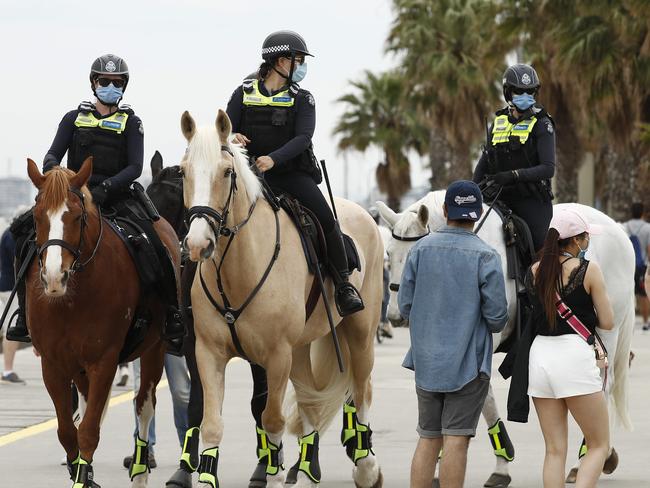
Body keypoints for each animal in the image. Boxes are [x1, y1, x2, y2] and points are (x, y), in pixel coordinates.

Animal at [25, 159, 181, 488]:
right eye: (36, 214)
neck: (71, 300)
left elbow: (88, 431)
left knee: (144, 405)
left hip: (155, 349)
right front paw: (82, 473)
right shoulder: (53, 364)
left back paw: (140, 472)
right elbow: (68, 431)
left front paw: (84, 477)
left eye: (77, 215)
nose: (55, 277)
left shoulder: (104, 361)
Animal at [180, 110, 382, 488]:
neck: (238, 268)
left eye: (226, 172)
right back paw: (305, 471)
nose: (199, 244)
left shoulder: (275, 357)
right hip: (301, 349)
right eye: (183, 171)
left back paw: (366, 468)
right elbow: (212, 424)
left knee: (362, 393)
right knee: (311, 406)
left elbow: (271, 420)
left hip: (360, 334)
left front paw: (271, 475)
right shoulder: (209, 353)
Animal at [374, 192, 632, 488]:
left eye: (413, 253)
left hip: (605, 331)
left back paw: (587, 458)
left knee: (603, 386)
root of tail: (617, 230)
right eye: (389, 254)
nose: (396, 315)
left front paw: (500, 463)